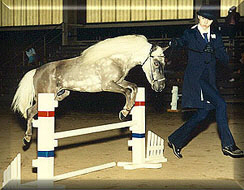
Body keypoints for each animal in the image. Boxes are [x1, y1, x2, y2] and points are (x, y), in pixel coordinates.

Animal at [11, 35, 168, 146]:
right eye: (156, 63)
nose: (160, 87)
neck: (115, 59)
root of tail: (36, 71)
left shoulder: (119, 82)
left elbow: (133, 87)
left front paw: (126, 110)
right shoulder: (108, 85)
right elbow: (128, 92)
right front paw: (123, 113)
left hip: (54, 94)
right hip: (44, 96)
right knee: (29, 111)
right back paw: (27, 138)